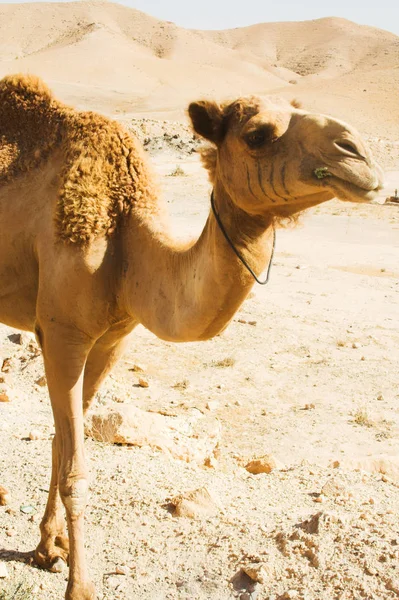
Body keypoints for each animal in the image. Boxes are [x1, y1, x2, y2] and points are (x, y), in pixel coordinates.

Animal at [0, 76, 384, 600]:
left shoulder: (112, 339)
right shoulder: (61, 334)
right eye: (258, 134)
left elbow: (62, 445)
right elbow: (76, 469)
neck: (126, 245)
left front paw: (47, 547)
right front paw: (80, 586)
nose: (360, 154)